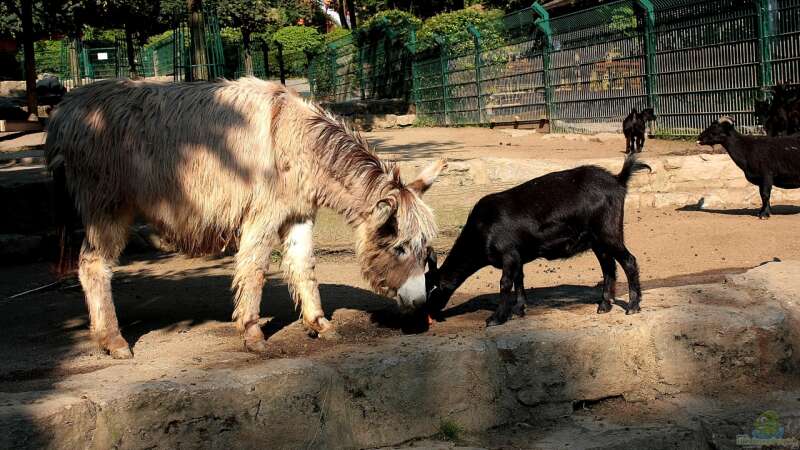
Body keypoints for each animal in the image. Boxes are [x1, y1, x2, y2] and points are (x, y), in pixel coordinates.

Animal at [424, 153, 648, 326]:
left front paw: (496, 318)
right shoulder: (517, 256)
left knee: (629, 261)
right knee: (609, 267)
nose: (425, 317)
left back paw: (632, 306)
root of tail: (618, 180)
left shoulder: (508, 254)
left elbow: (505, 283)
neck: (480, 231)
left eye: (427, 293)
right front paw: (519, 309)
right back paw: (604, 305)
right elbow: (519, 280)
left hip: (608, 232)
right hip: (597, 241)